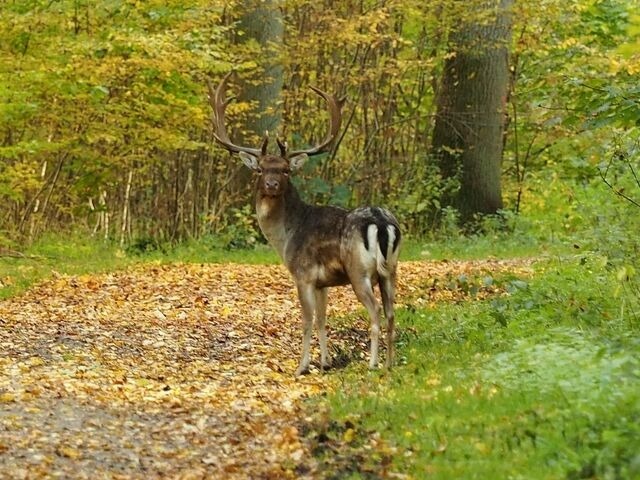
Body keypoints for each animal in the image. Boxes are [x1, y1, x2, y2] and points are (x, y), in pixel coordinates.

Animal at [209, 74, 400, 376]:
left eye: (286, 170)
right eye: (261, 169)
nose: (272, 185)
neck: (286, 236)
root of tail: (380, 222)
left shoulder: (303, 274)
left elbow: (307, 320)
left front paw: (302, 366)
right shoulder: (323, 283)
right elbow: (322, 319)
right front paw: (325, 362)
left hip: (359, 271)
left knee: (376, 311)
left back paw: (372, 363)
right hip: (390, 270)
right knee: (392, 312)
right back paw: (389, 364)